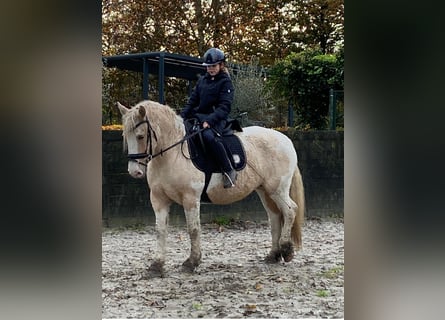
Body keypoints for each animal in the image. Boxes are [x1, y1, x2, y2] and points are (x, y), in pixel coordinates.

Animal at [117, 99, 306, 276]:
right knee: (274, 217)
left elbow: (193, 230)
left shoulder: (190, 198)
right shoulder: (158, 199)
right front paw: (156, 265)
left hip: (277, 189)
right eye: (126, 136)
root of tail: (285, 139)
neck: (172, 154)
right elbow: (160, 230)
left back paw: (286, 250)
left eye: (140, 136)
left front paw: (191, 262)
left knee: (290, 210)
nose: (134, 171)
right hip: (264, 191)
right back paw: (273, 255)